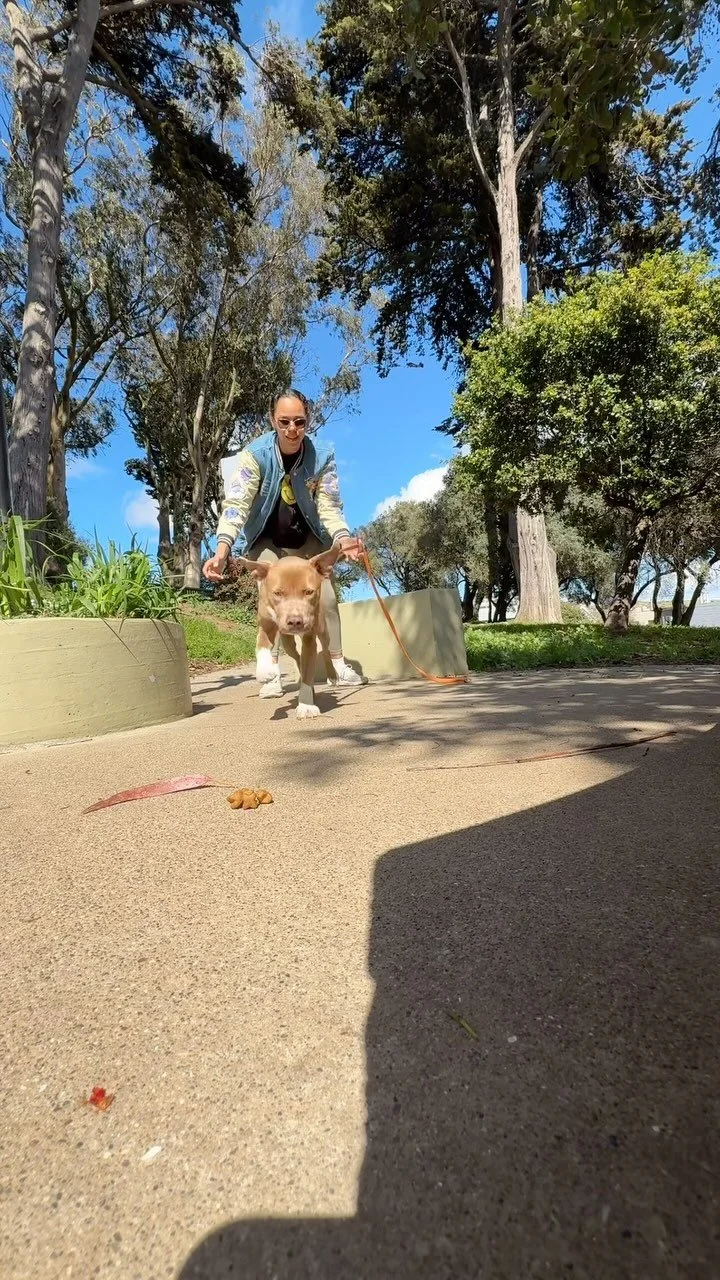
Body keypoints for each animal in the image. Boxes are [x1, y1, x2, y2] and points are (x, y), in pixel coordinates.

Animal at [236, 545, 341, 719]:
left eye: (309, 592)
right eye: (277, 593)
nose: (295, 621)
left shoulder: (309, 639)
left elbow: (308, 672)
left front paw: (306, 705)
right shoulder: (266, 625)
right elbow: (261, 645)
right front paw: (264, 671)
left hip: (323, 630)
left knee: (325, 651)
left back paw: (332, 676)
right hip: (287, 643)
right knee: (298, 658)